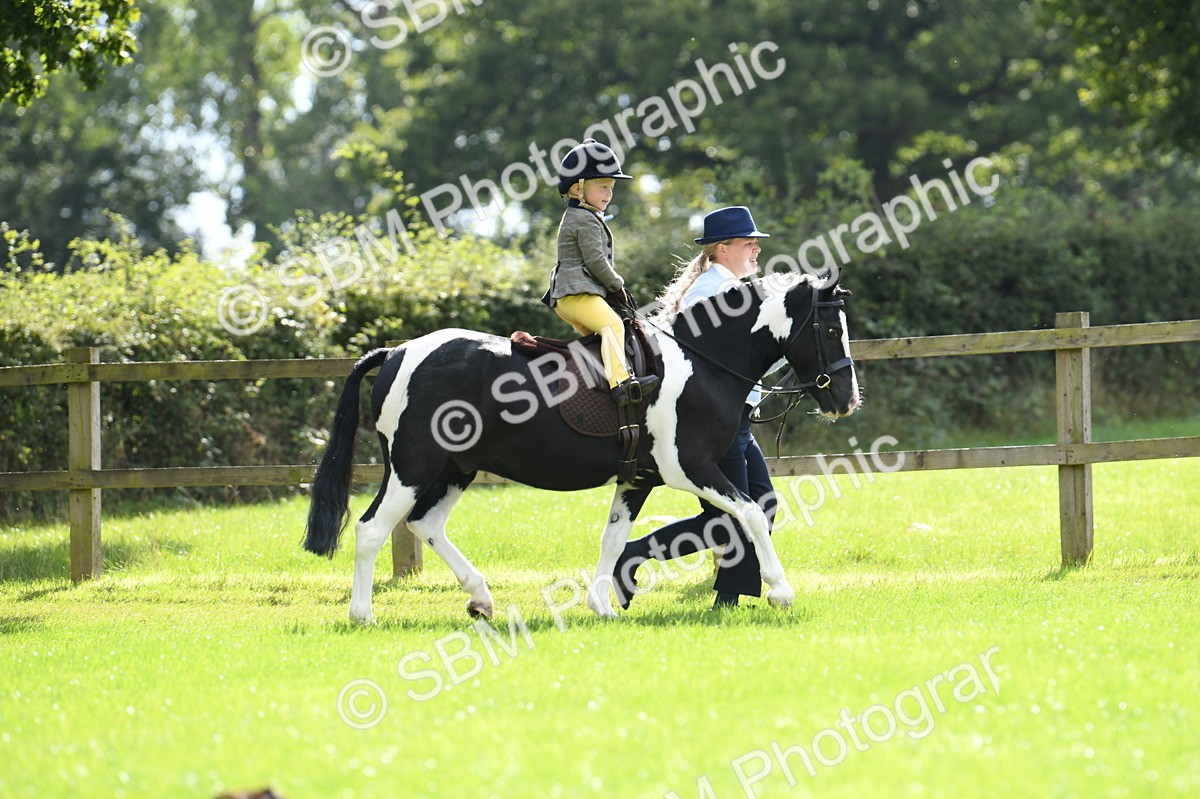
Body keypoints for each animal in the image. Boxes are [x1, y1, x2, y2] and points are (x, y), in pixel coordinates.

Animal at [303, 271, 860, 623]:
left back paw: (481, 599)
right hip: (414, 467)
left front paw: (604, 604)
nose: (847, 399)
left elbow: (613, 540)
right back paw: (363, 614)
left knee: (426, 524)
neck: (700, 361)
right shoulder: (690, 467)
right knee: (373, 529)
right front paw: (781, 593)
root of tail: (398, 352)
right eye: (832, 328)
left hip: (455, 470)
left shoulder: (638, 479)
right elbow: (748, 514)